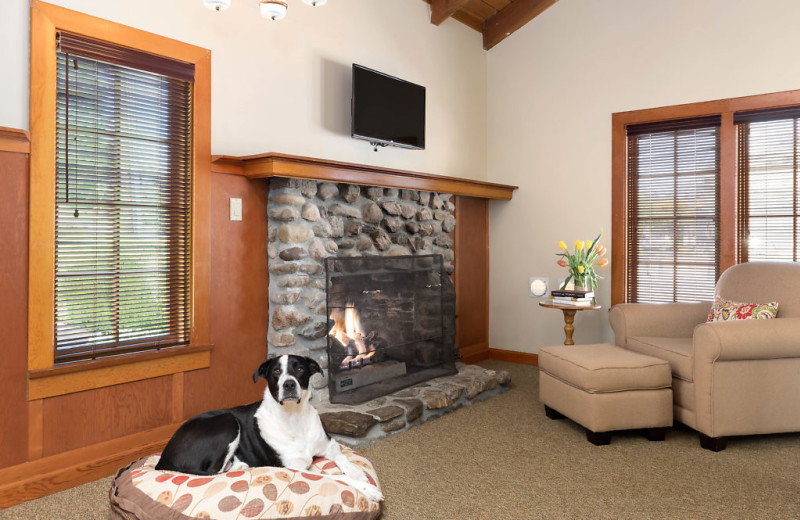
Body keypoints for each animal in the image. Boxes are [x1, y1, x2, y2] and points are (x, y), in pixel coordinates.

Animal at [158, 354, 382, 500]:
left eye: (300, 368)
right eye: (276, 371)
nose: (289, 384)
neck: (294, 417)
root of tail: (162, 459)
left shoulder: (328, 445)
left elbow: (342, 457)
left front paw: (357, 472)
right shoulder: (296, 468)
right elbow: (336, 477)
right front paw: (367, 489)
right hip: (228, 421)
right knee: (215, 470)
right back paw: (239, 466)